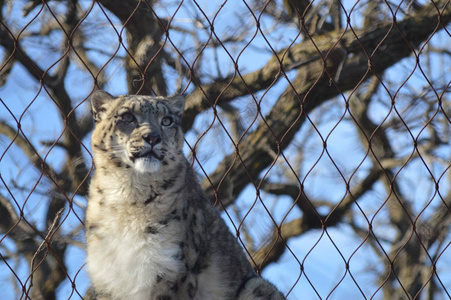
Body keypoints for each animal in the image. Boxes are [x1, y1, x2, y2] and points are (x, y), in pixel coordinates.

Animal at [85, 91, 286, 300]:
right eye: (127, 117)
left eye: (166, 120)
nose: (153, 137)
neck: (129, 192)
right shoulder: (108, 278)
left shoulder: (171, 270)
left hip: (257, 285)